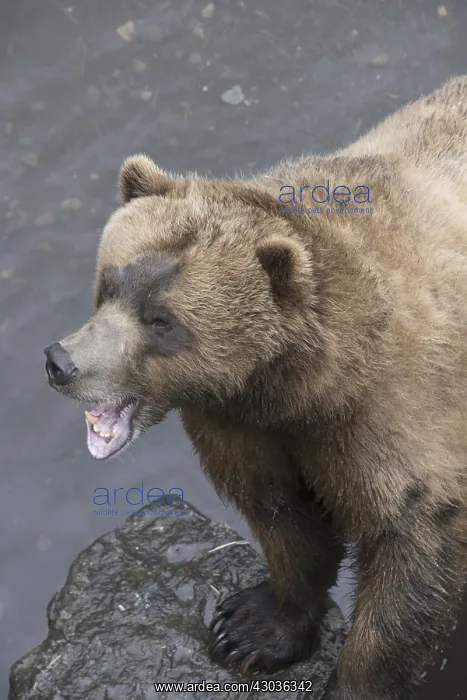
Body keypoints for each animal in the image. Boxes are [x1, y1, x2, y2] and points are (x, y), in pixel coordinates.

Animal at [44, 75, 467, 700]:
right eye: (109, 284)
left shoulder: (396, 423)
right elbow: (285, 520)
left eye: (161, 320)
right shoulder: (245, 427)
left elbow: (409, 565)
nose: (62, 362)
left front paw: (351, 677)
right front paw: (249, 630)